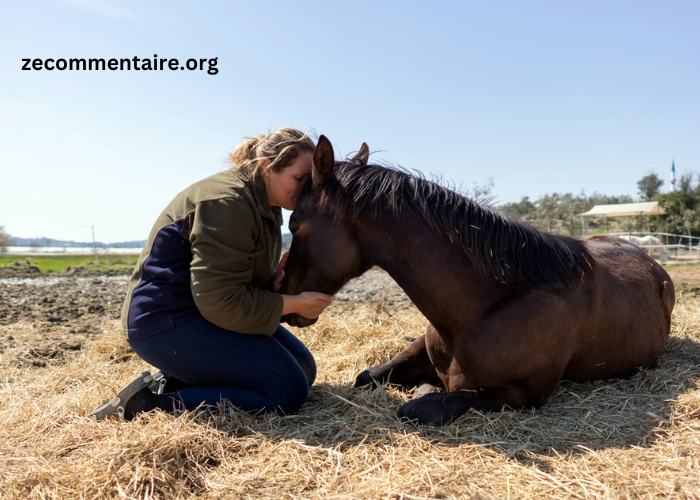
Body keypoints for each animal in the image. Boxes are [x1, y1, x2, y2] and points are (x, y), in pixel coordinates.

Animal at [282, 135, 676, 424]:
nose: (283, 291)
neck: (485, 308)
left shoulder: (518, 394)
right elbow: (367, 376)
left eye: (294, 225)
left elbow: (419, 404)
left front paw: (424, 390)